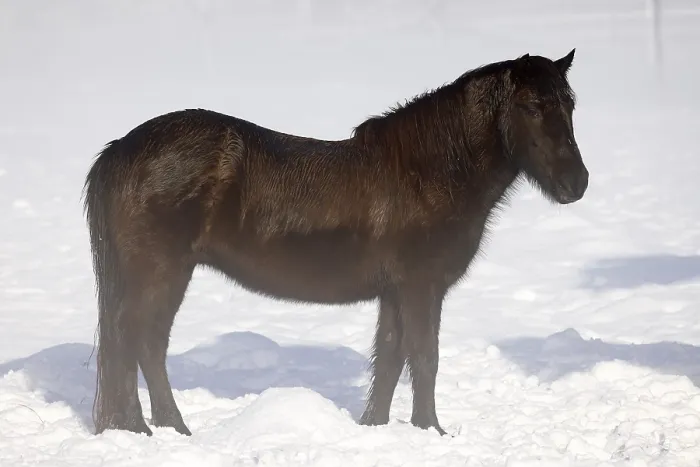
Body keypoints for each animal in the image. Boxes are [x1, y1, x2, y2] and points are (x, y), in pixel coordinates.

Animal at [83, 49, 588, 437]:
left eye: (570, 104)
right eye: (531, 107)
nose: (576, 183)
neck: (428, 173)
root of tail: (120, 149)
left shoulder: (396, 291)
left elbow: (390, 358)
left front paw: (375, 428)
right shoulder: (421, 287)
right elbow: (425, 357)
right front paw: (431, 431)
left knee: (144, 343)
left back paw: (167, 428)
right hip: (160, 270)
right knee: (135, 340)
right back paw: (145, 430)